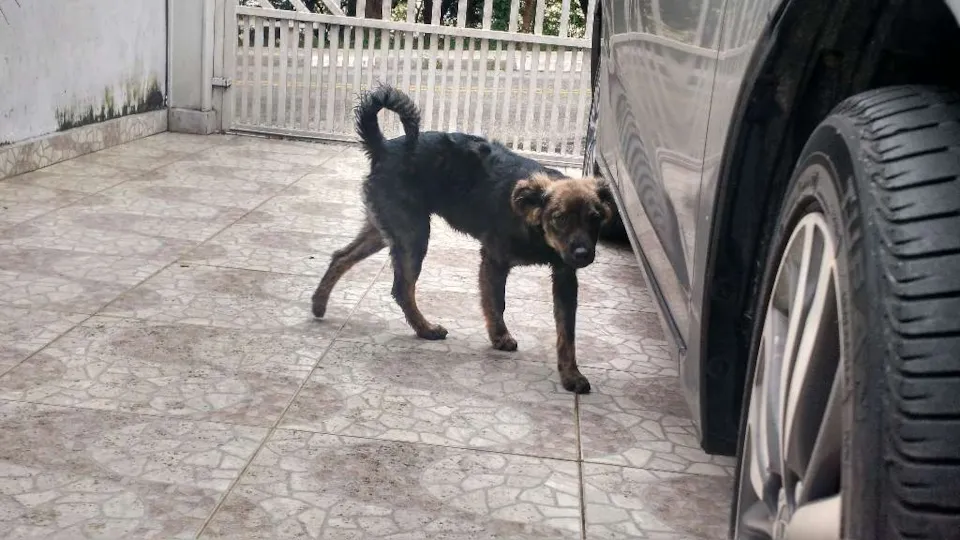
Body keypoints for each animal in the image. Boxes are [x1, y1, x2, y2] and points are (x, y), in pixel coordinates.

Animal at [311, 85, 616, 394]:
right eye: (560, 218)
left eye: (595, 218)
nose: (583, 254)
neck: (534, 224)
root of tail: (382, 147)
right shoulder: (494, 260)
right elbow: (496, 302)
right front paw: (499, 337)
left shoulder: (565, 276)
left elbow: (567, 331)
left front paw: (571, 374)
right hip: (413, 235)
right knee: (401, 288)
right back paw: (425, 329)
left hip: (386, 229)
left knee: (342, 256)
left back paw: (319, 304)